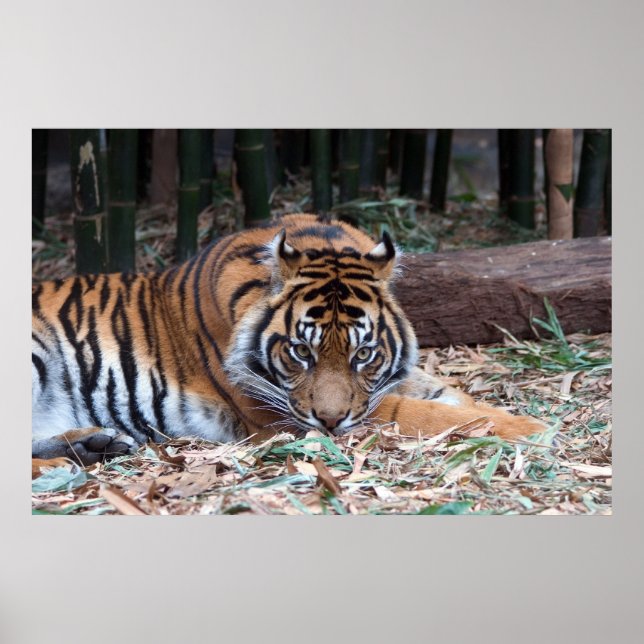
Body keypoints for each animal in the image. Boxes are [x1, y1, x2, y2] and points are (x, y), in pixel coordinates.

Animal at [32, 213, 545, 473]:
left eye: (363, 354)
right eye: (301, 352)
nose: (331, 423)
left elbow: (449, 395)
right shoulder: (278, 412)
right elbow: (423, 414)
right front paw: (533, 429)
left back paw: (95, 443)